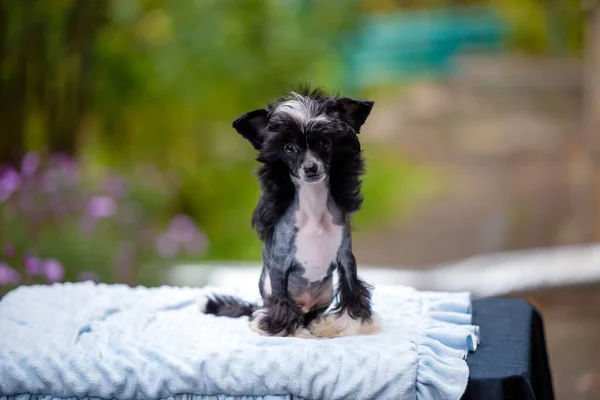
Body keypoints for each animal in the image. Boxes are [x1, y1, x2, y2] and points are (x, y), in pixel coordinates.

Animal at [200, 87, 380, 338]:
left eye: (325, 143)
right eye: (289, 148)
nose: (311, 168)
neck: (313, 208)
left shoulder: (346, 257)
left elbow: (352, 287)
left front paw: (352, 324)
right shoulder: (279, 263)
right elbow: (281, 298)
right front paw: (280, 327)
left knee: (310, 315)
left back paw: (317, 325)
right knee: (269, 306)